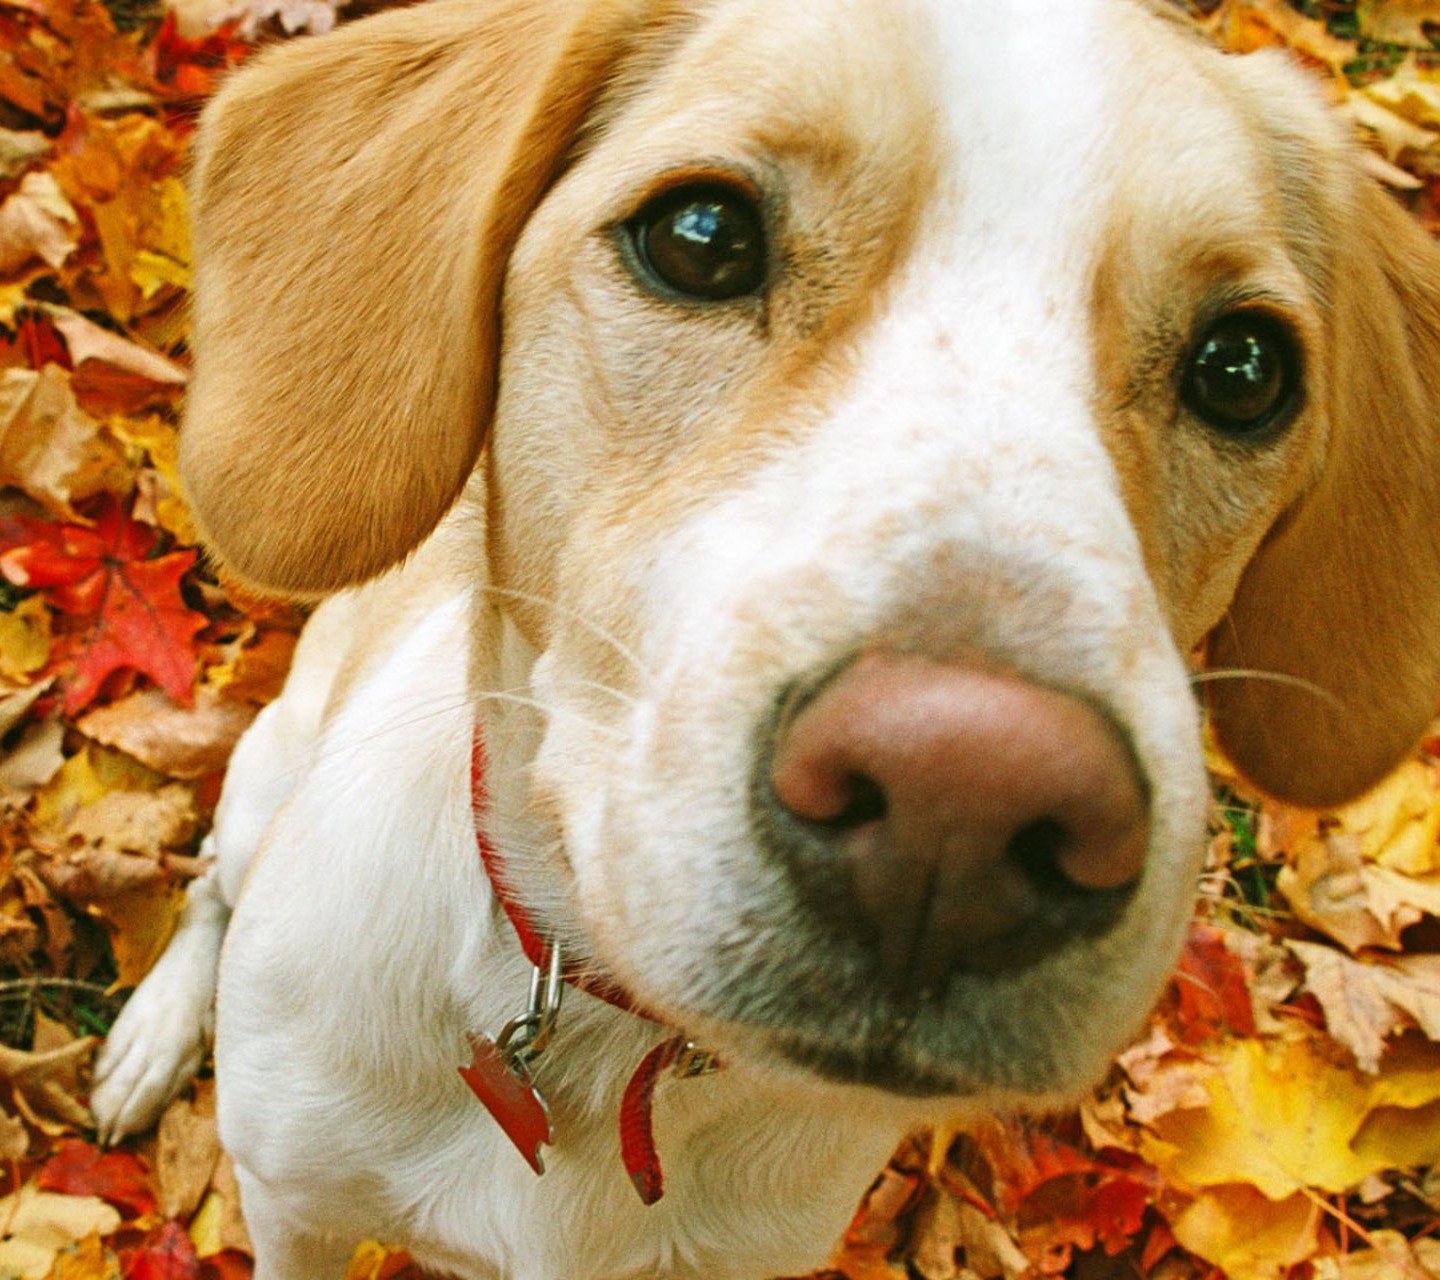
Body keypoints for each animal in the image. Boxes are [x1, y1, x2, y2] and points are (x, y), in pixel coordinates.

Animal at [84, 0, 1440, 1272]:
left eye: (1245, 368)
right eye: (702, 237)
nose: (960, 805)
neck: (601, 1042)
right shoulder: (295, 1210)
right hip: (262, 774)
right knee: (208, 886)